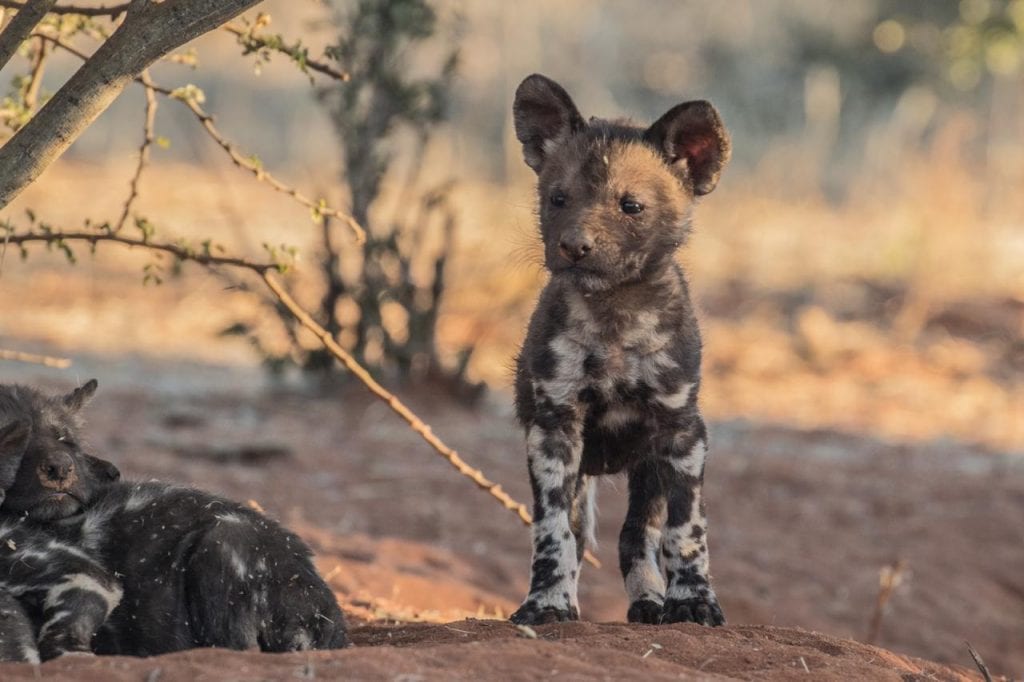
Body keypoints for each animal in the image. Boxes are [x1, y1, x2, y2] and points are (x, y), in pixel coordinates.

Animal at [509, 75, 729, 626]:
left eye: (631, 206)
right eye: (557, 199)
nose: (574, 246)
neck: (613, 321)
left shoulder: (681, 432)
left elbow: (686, 532)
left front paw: (692, 601)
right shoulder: (554, 428)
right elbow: (553, 533)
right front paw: (546, 602)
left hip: (649, 469)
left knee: (636, 538)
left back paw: (651, 601)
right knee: (580, 531)